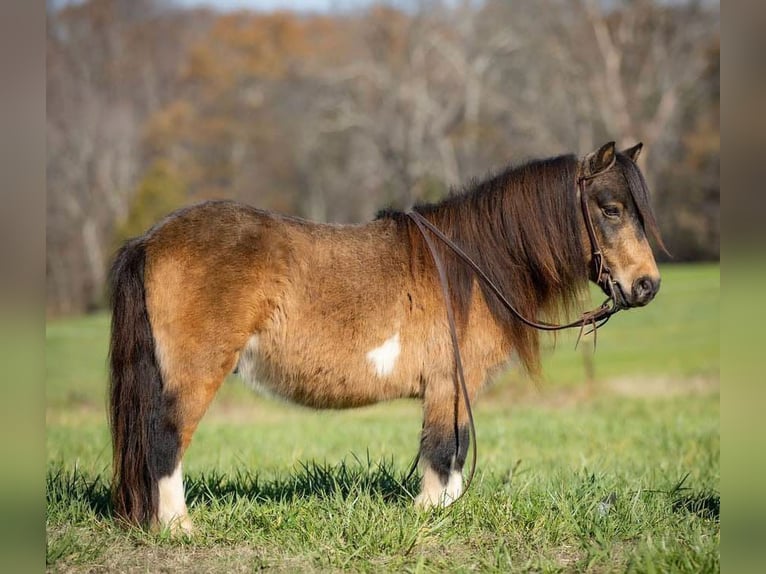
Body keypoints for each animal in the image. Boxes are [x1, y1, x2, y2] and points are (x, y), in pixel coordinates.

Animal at [109, 141, 664, 536]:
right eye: (610, 209)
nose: (647, 286)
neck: (472, 265)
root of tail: (149, 239)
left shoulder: (455, 389)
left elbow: (455, 451)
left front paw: (446, 512)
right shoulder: (447, 384)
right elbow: (442, 450)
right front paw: (431, 514)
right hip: (195, 375)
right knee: (165, 438)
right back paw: (179, 528)